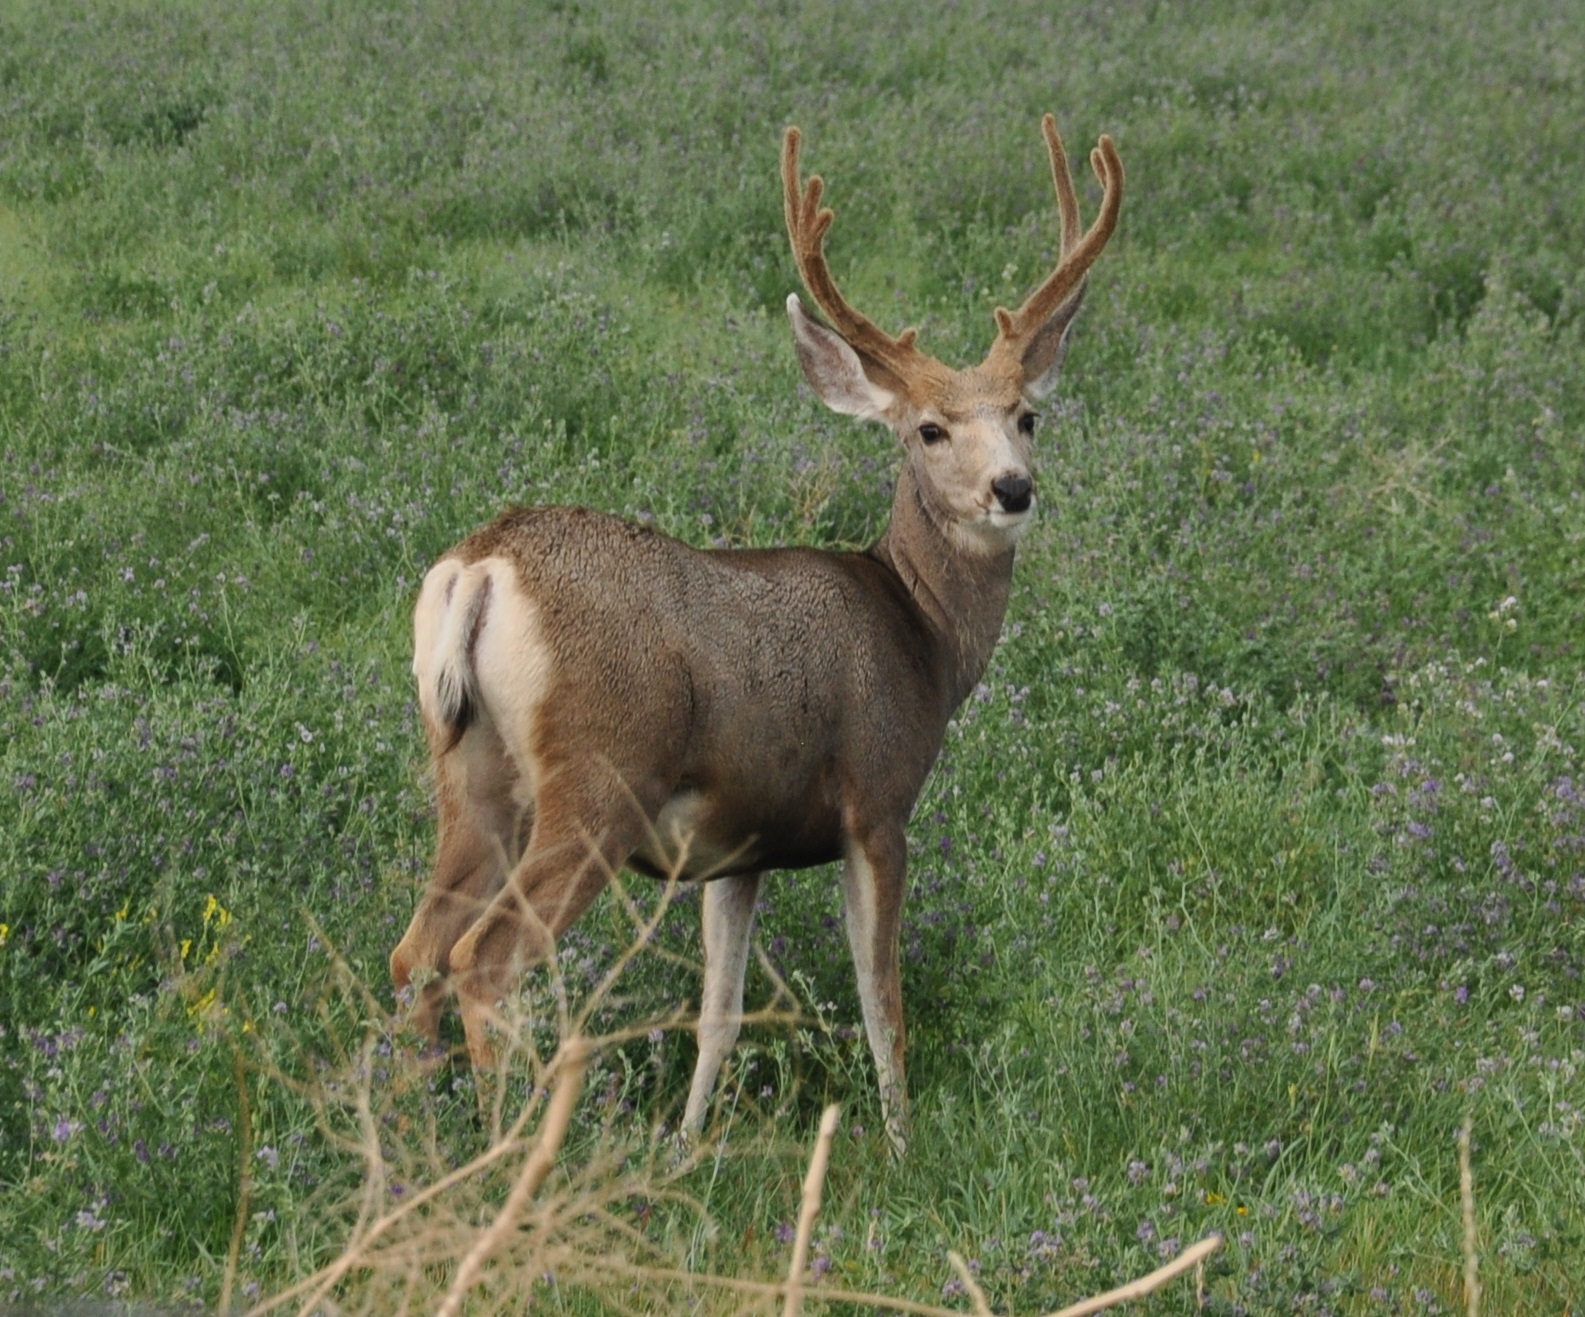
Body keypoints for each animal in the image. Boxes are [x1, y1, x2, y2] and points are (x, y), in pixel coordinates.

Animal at [389, 115, 1122, 1153]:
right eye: (928, 430)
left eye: (1028, 416)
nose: (1011, 488)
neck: (922, 637)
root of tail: (482, 565)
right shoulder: (876, 800)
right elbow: (880, 999)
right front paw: (902, 1145)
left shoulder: (738, 848)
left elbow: (720, 1011)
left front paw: (690, 1143)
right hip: (595, 779)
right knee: (483, 959)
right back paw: (510, 1152)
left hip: (468, 765)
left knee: (414, 951)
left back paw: (406, 1146)